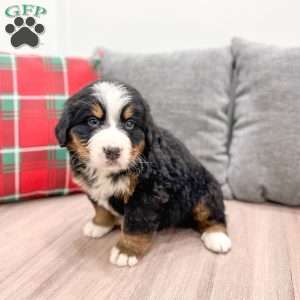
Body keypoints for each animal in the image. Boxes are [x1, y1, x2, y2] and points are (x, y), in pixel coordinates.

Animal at [55, 79, 231, 268]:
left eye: (130, 124)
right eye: (92, 122)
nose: (112, 151)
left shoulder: (147, 194)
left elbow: (136, 224)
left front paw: (126, 251)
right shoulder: (93, 188)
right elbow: (101, 208)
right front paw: (99, 225)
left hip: (206, 191)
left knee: (213, 215)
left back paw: (217, 237)